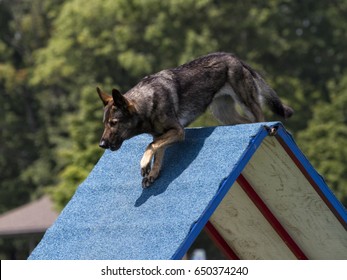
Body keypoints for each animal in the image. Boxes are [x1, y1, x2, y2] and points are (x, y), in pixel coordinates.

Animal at [96, 52, 294, 188]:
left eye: (113, 123)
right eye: (105, 124)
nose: (102, 144)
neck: (146, 104)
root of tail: (233, 57)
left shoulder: (177, 131)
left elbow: (150, 146)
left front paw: (144, 165)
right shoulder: (162, 134)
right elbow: (157, 150)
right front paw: (153, 173)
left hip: (247, 104)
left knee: (259, 119)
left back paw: (267, 127)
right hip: (224, 114)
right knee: (243, 122)